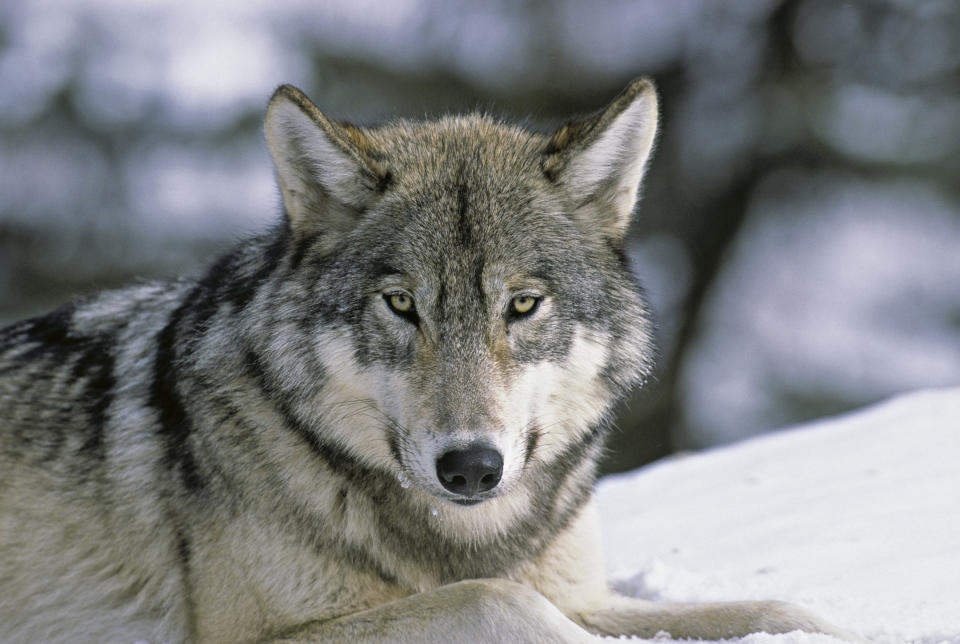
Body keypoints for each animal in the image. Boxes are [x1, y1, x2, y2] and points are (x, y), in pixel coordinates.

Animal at [0, 78, 864, 640]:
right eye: (402, 305)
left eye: (522, 305)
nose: (472, 467)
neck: (464, 539)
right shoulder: (254, 637)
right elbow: (498, 601)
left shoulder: (583, 590)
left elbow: (778, 609)